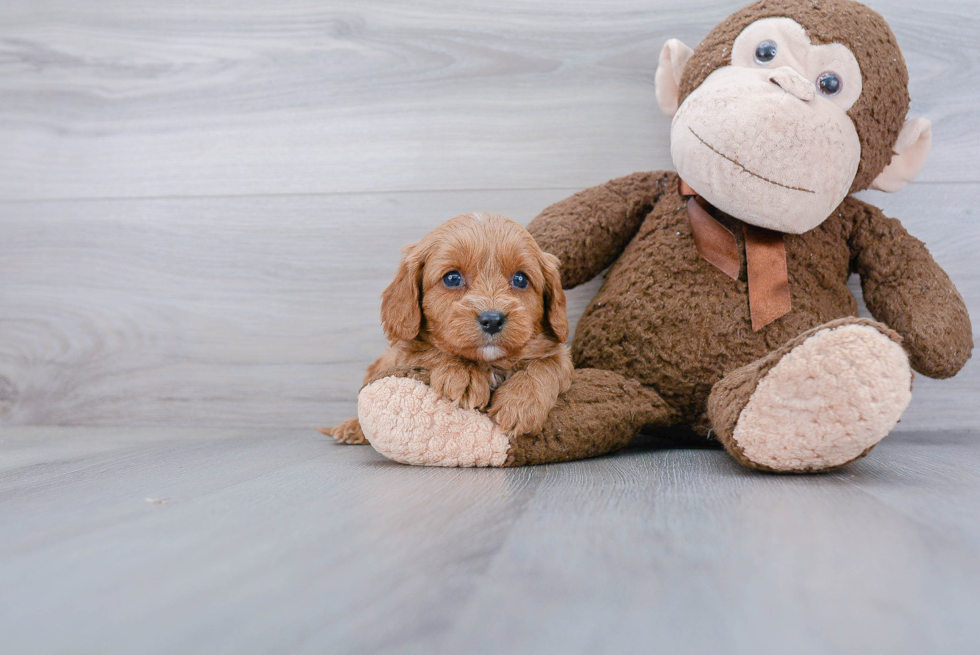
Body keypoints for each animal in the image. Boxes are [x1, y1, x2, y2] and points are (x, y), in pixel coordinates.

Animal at [326, 211, 572, 446]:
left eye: (520, 279)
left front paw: (521, 403)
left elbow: (547, 364)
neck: (490, 363)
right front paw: (464, 374)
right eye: (452, 278)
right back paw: (351, 428)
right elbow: (431, 350)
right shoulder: (405, 353)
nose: (492, 320)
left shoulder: (560, 355)